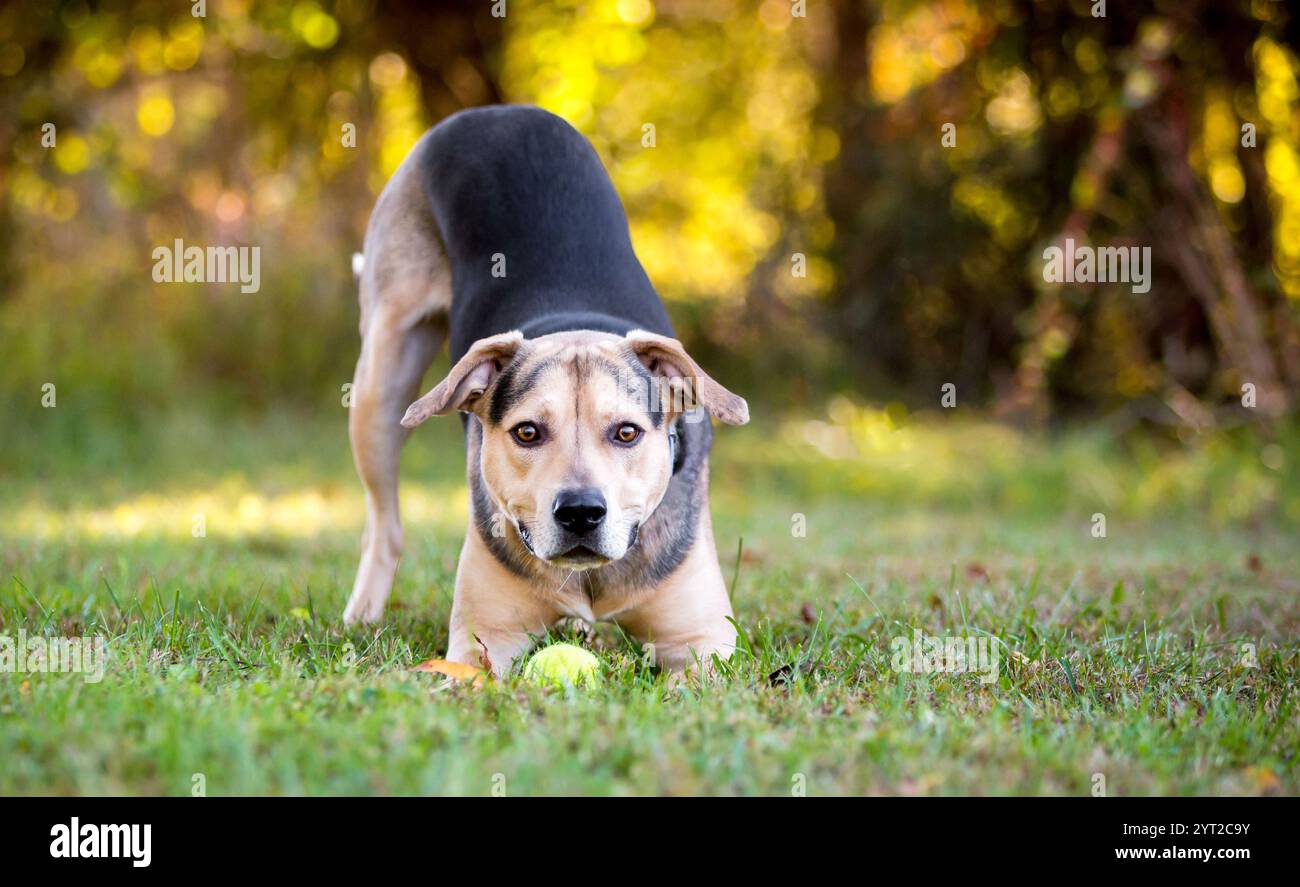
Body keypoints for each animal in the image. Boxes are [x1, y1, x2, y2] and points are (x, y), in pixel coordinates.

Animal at [343, 105, 754, 671]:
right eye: (527, 433)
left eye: (627, 433)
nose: (580, 512)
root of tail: (493, 112)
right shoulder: (485, 638)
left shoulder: (702, 642)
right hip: (380, 381)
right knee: (384, 526)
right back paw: (362, 615)